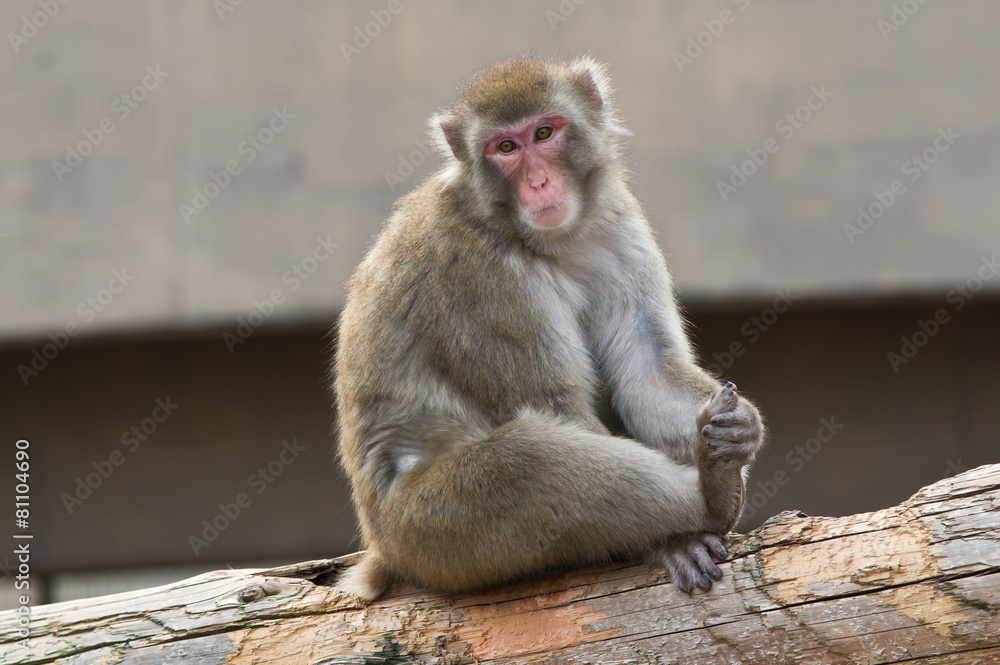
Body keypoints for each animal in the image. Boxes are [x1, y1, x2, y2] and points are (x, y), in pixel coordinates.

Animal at [333, 56, 765, 602]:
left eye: (544, 133)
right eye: (505, 148)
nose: (538, 182)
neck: (541, 237)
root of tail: (381, 545)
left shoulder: (619, 224)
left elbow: (650, 379)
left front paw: (744, 429)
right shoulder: (478, 274)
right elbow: (559, 409)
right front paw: (668, 541)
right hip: (427, 534)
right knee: (527, 458)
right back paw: (711, 503)